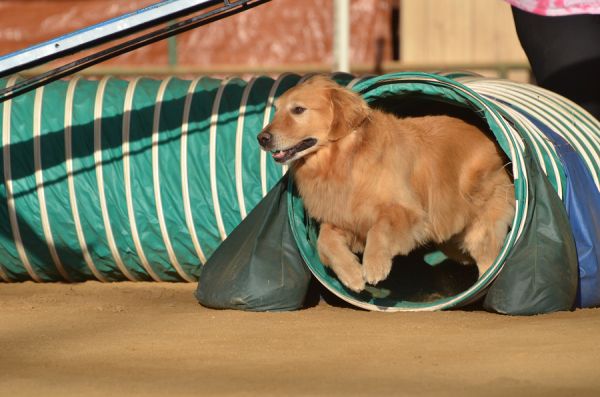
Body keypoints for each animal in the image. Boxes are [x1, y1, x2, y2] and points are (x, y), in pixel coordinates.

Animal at [255, 76, 512, 290]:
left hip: (477, 226)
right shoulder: (345, 215)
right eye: (276, 111)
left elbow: (380, 227)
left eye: (298, 110)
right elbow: (324, 241)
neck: (343, 160)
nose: (261, 138)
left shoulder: (408, 211)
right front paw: (351, 274)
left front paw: (374, 266)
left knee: (488, 259)